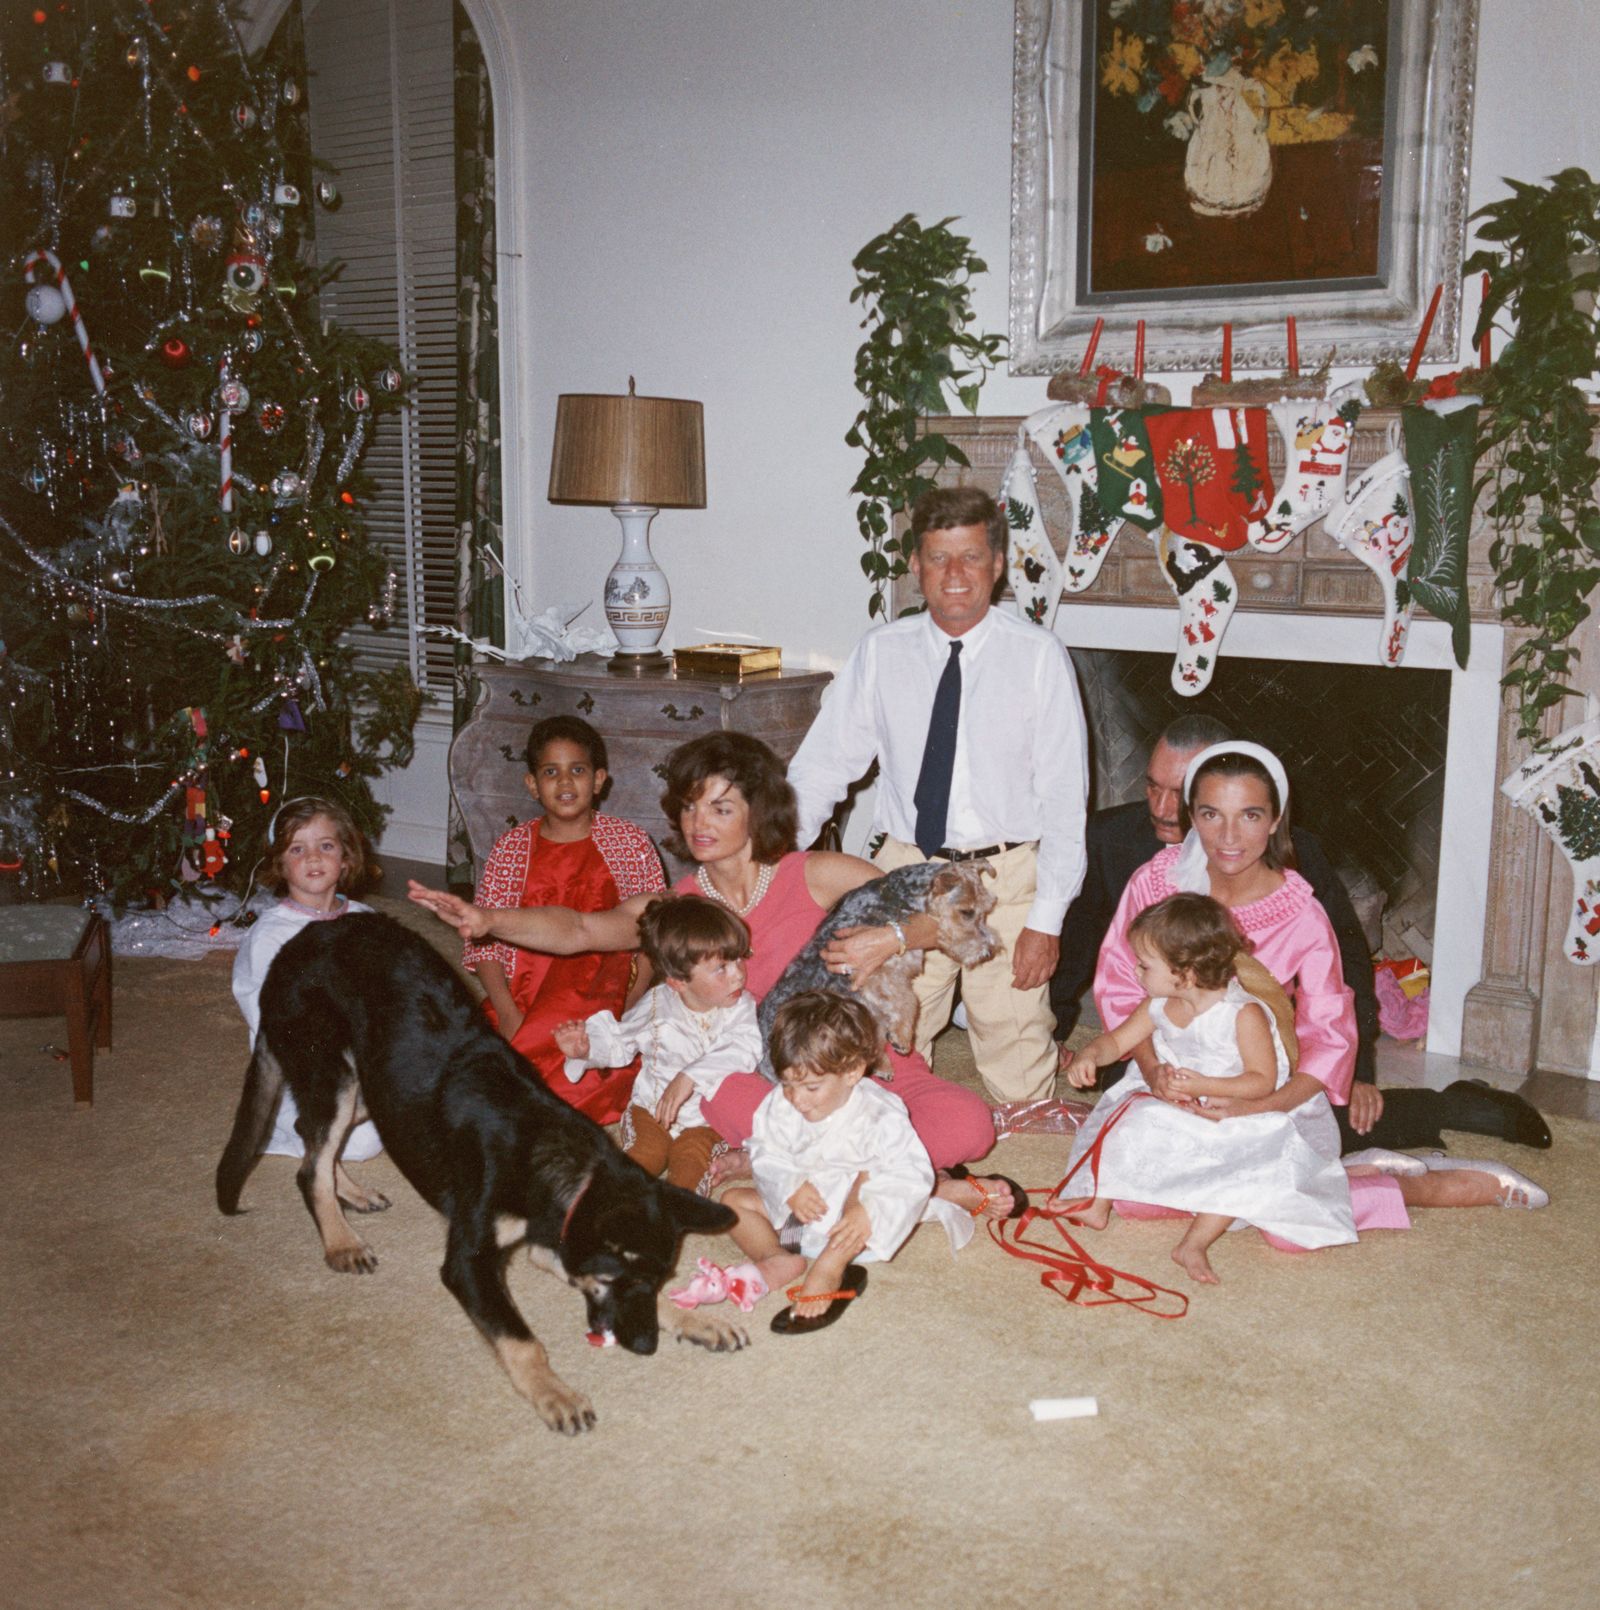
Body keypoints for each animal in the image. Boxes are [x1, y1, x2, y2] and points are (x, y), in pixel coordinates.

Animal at [215, 920, 740, 1436]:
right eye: (616, 1279)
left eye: (658, 1279)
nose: (646, 1346)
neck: (560, 1159)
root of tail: (298, 941)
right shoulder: (468, 1263)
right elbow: (521, 1340)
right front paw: (555, 1394)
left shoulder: (551, 1241)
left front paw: (695, 1321)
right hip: (334, 1074)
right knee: (311, 1166)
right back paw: (342, 1240)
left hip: (377, 1091)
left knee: (311, 1135)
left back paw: (352, 1194)